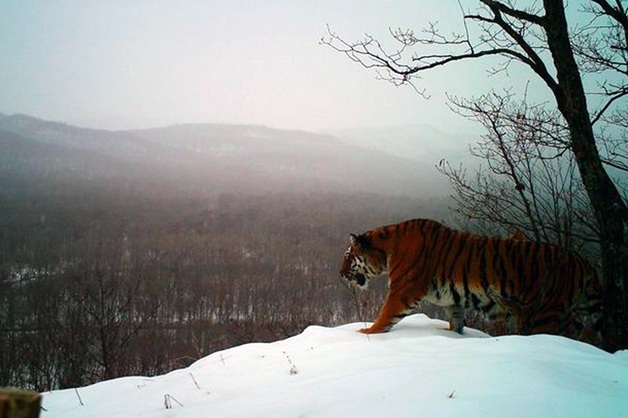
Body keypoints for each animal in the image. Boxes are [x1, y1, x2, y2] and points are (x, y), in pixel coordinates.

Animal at [340, 217, 600, 342]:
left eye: (348, 256)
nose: (340, 275)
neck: (386, 250)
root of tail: (583, 260)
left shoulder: (403, 290)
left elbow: (386, 314)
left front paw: (365, 333)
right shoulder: (451, 299)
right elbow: (456, 322)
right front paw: (453, 336)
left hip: (546, 312)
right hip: (566, 312)